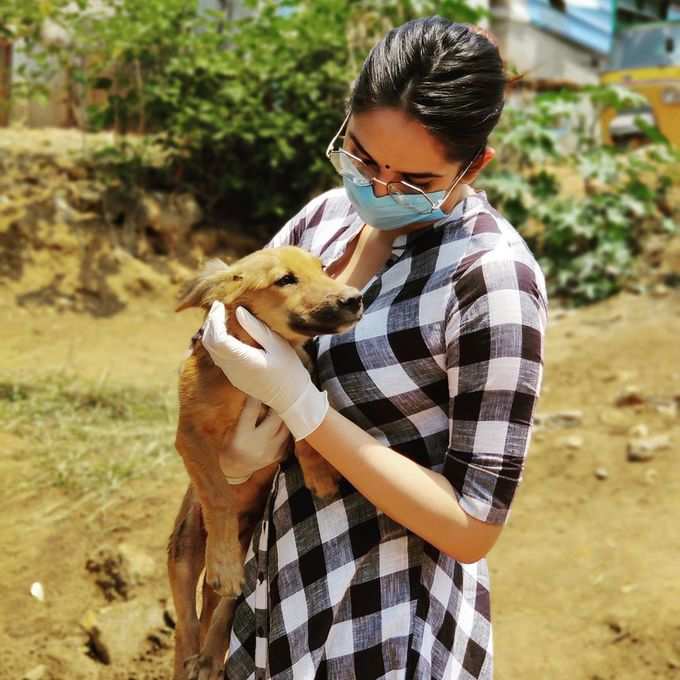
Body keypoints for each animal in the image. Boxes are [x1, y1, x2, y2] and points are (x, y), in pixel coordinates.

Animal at [167, 246, 364, 680]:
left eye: (323, 269)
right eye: (285, 280)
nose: (355, 298)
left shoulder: (295, 390)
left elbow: (305, 424)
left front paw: (319, 475)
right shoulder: (190, 435)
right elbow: (219, 494)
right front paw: (222, 561)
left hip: (252, 557)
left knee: (220, 615)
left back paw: (209, 658)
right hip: (183, 550)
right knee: (186, 622)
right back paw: (191, 656)